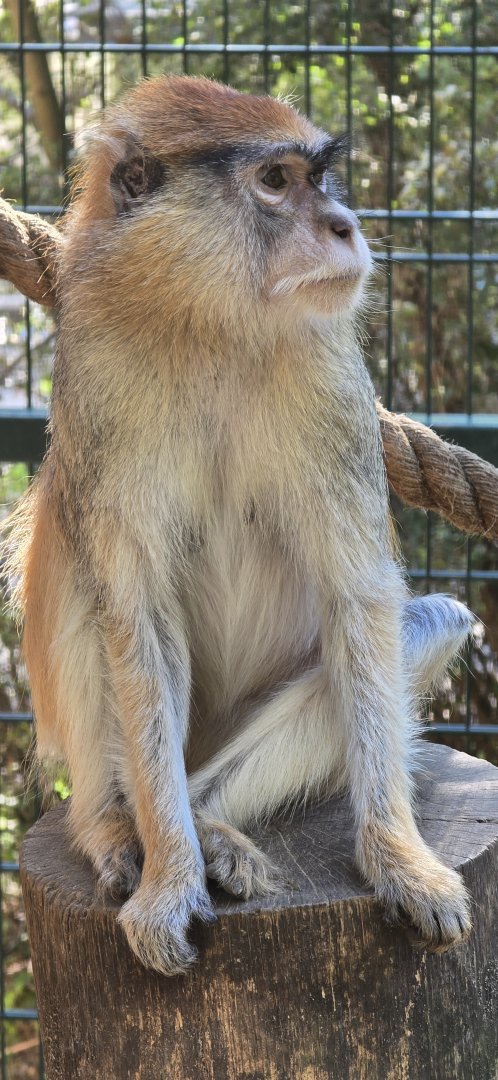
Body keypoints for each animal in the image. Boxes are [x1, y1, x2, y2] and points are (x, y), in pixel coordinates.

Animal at [5, 74, 474, 976]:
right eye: (276, 182)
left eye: (318, 178)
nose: (344, 225)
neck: (209, 322)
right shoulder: (95, 374)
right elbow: (137, 614)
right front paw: (167, 883)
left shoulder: (331, 377)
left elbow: (360, 599)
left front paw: (401, 860)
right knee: (76, 564)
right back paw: (116, 826)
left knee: (427, 620)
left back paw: (211, 823)